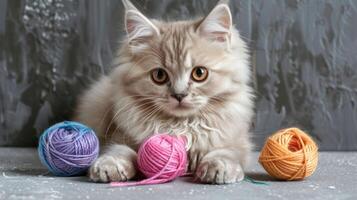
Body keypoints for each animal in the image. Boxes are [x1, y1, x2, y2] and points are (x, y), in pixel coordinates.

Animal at [74, 0, 253, 184]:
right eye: (159, 75)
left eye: (199, 73)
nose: (179, 95)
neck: (181, 126)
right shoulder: (117, 136)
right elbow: (119, 150)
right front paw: (110, 165)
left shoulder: (239, 142)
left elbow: (226, 152)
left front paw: (219, 167)